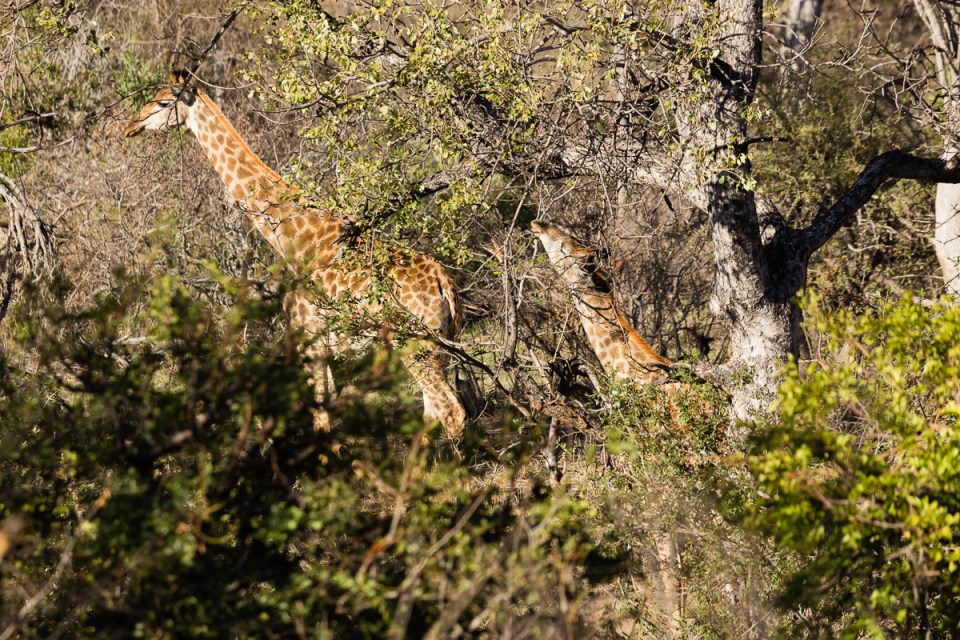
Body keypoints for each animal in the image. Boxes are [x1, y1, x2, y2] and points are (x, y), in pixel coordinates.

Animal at [123, 74, 467, 437]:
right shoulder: (322, 347)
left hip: (417, 345)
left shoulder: (309, 339)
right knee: (432, 414)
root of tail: (446, 287)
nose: (130, 126)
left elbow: (321, 421)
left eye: (163, 102)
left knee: (451, 411)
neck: (290, 237)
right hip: (442, 347)